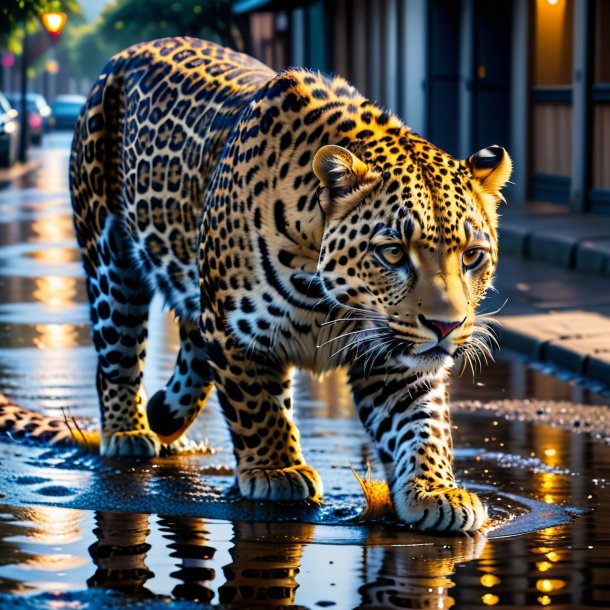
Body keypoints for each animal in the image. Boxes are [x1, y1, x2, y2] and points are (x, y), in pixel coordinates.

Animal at [3, 39, 508, 532]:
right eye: (393, 253)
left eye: (472, 256)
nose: (446, 327)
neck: (328, 297)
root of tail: (124, 55)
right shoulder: (236, 330)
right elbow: (258, 405)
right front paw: (275, 468)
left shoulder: (393, 356)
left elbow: (422, 423)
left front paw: (437, 491)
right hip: (110, 262)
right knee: (119, 352)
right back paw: (129, 430)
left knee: (190, 339)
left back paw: (165, 412)